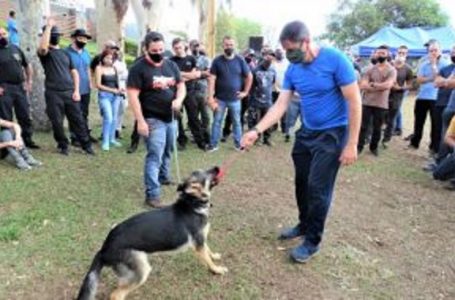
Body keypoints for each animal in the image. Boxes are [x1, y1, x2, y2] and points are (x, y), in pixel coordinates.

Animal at [77, 166, 228, 300]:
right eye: (204, 175)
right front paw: (216, 270)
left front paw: (215, 256)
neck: (193, 203)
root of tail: (103, 249)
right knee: (116, 295)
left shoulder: (201, 239)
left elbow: (208, 250)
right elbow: (207, 260)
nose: (216, 167)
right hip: (142, 270)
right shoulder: (198, 244)